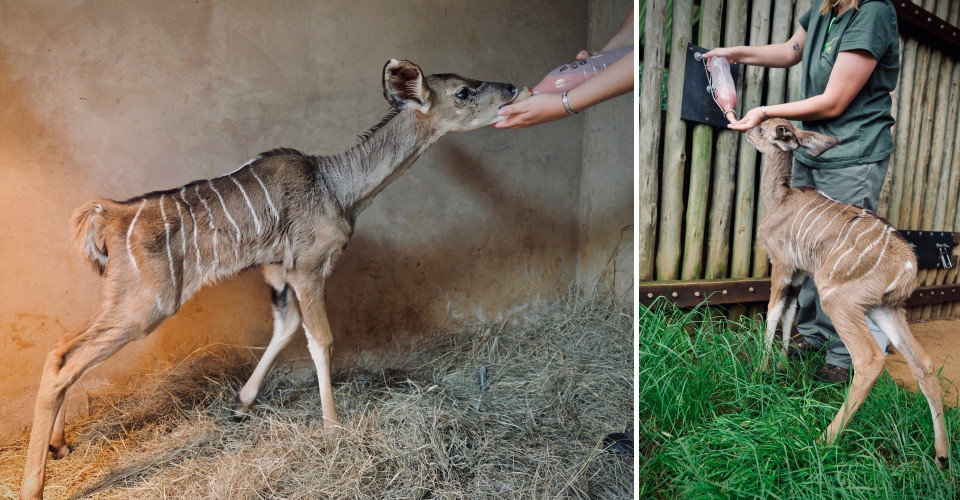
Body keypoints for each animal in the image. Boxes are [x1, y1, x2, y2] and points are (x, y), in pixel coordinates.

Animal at [19, 59, 519, 499]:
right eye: (464, 91)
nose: (513, 88)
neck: (337, 186)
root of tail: (108, 215)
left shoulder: (278, 269)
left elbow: (287, 326)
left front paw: (241, 405)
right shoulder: (308, 267)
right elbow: (321, 338)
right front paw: (334, 428)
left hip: (122, 300)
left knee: (60, 349)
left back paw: (60, 445)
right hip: (147, 305)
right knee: (66, 363)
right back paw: (33, 486)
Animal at [747, 118, 949, 469]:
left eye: (762, 128)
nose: (745, 131)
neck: (781, 199)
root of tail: (908, 267)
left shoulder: (783, 265)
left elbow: (772, 313)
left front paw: (761, 370)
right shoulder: (800, 273)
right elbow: (789, 314)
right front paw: (783, 366)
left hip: (839, 301)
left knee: (870, 359)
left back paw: (821, 441)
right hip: (886, 309)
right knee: (922, 362)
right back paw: (942, 457)